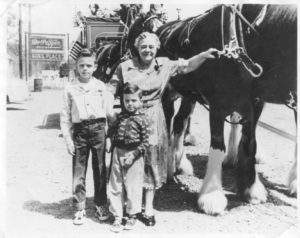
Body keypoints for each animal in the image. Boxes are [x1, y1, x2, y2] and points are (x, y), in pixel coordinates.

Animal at [127, 4, 296, 215]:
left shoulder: (255, 105)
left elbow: (249, 143)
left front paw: (250, 188)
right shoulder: (218, 104)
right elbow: (217, 146)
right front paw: (212, 195)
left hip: (189, 96)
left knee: (180, 122)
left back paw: (179, 163)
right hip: (166, 93)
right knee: (168, 122)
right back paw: (168, 166)